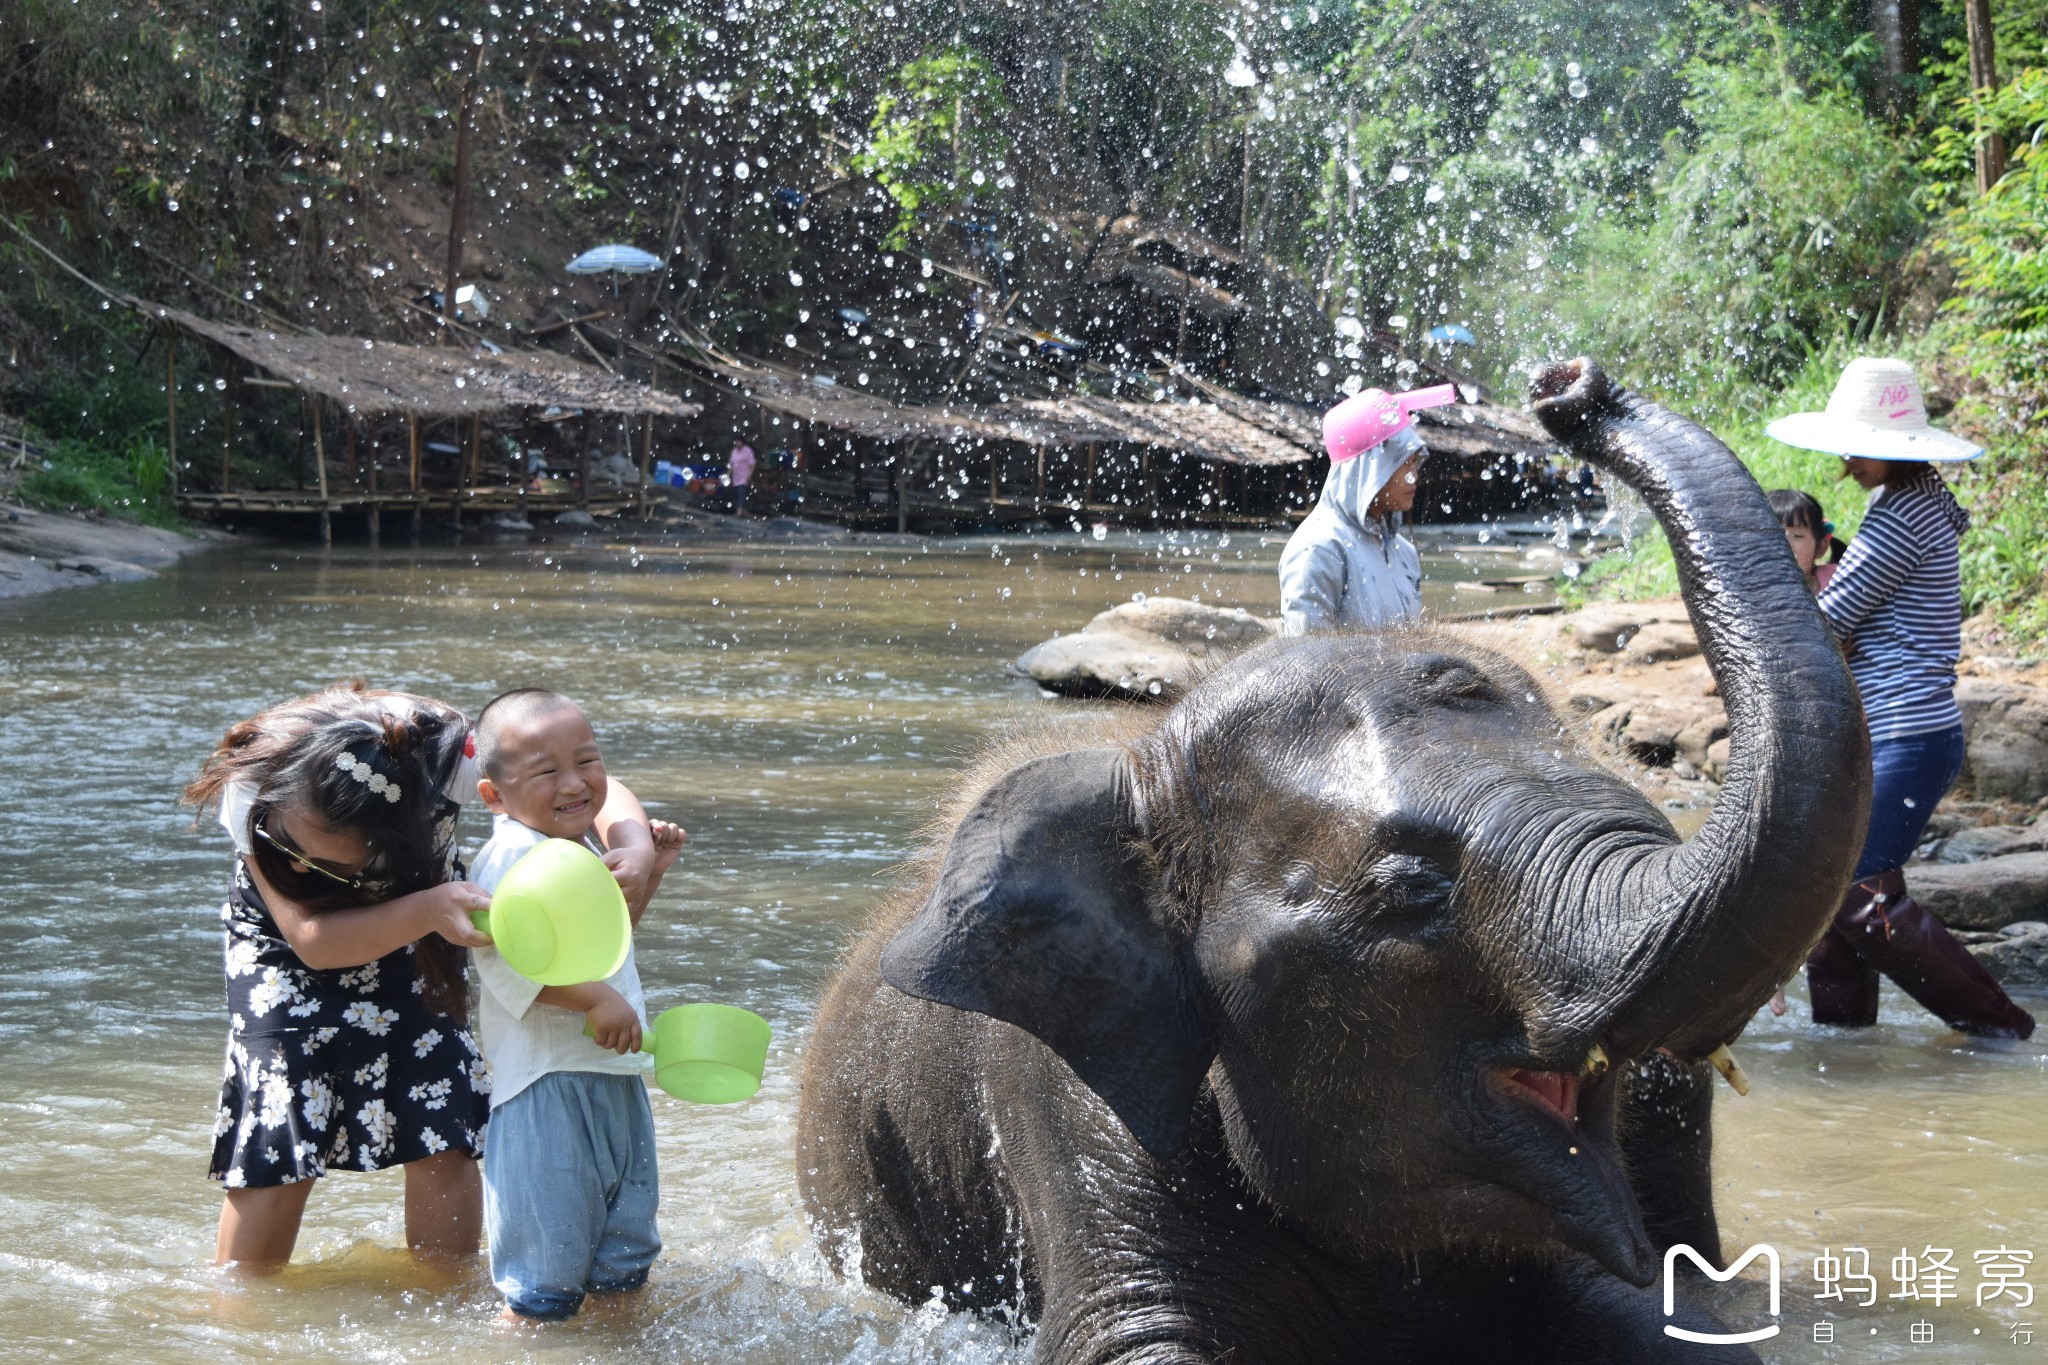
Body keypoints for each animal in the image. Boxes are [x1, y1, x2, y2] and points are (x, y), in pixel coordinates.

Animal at [794, 358, 1875, 1358]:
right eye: (1410, 889)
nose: (1569, 388)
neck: (1145, 761)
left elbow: (1646, 1318)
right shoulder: (1069, 1089)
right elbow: (1129, 1336)